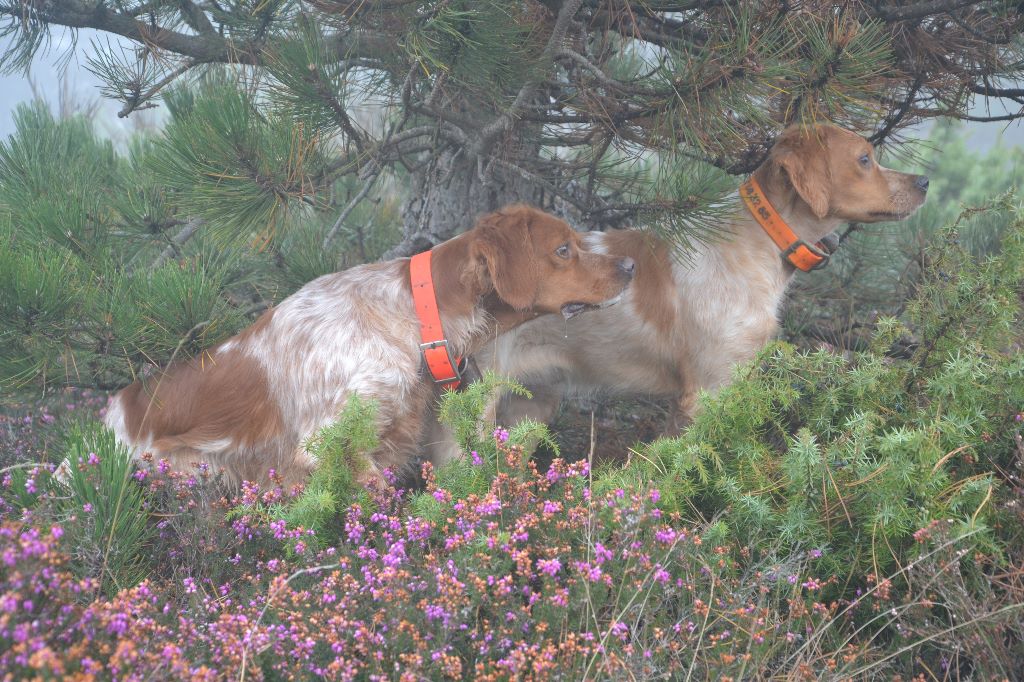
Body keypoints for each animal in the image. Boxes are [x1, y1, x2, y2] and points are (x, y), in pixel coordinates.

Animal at [428, 124, 925, 458]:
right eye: (864, 159)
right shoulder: (707, 389)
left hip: (531, 406)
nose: (922, 182)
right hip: (474, 407)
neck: (755, 243)